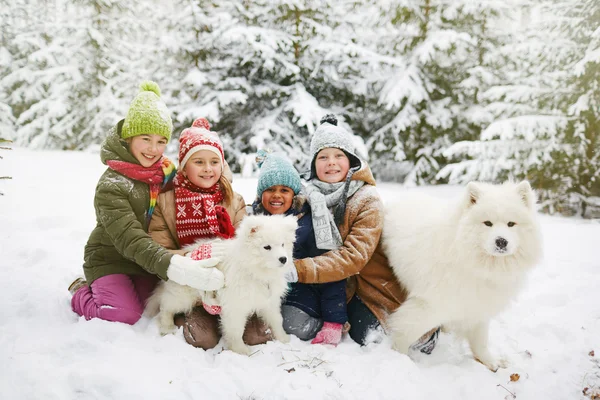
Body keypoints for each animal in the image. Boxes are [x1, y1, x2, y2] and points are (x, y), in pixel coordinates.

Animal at [148, 214, 298, 354]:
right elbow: (236, 329)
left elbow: (276, 319)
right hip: (183, 295)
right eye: (267, 247)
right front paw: (240, 350)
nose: (283, 259)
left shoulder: (269, 300)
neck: (255, 271)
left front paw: (283, 338)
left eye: (283, 244)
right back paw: (167, 327)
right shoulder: (235, 305)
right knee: (166, 306)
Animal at [384, 182, 544, 372]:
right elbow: (405, 334)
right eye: (487, 223)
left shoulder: (477, 304)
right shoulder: (428, 306)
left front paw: (490, 362)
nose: (501, 241)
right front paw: (401, 361)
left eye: (511, 224)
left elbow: (480, 340)